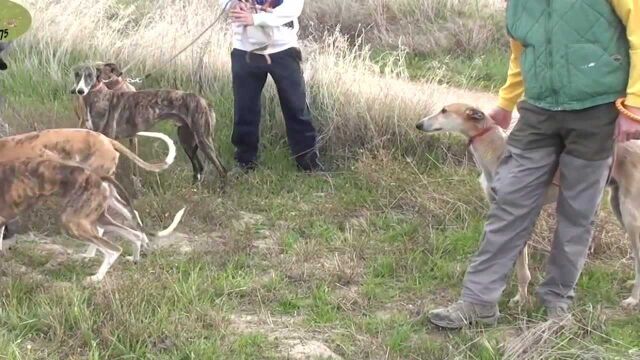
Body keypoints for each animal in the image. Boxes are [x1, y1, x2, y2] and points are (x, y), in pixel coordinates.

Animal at [0, 158, 185, 284]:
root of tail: (98, 176)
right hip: (97, 218)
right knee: (135, 234)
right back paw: (134, 259)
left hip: (73, 222)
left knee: (113, 249)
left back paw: (96, 278)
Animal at [71, 63, 228, 183]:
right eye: (77, 74)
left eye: (90, 75)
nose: (77, 91)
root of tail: (205, 102)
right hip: (187, 141)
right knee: (199, 167)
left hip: (203, 139)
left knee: (222, 169)